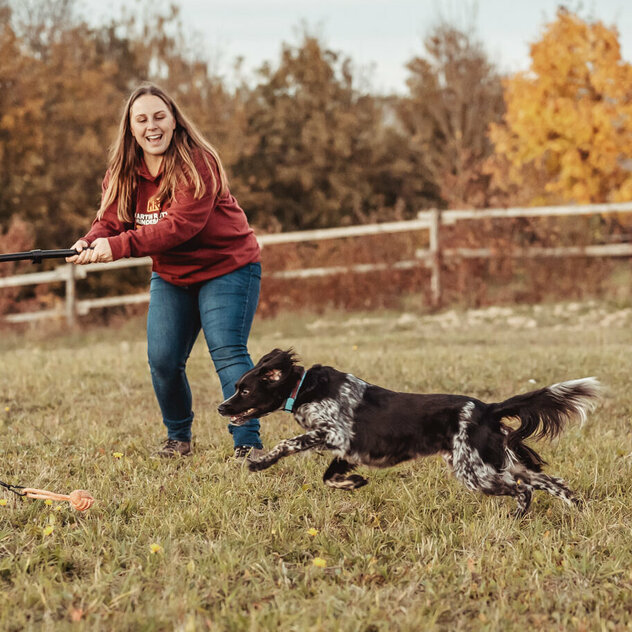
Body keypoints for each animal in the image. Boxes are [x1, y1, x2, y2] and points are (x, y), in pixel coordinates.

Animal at [220, 348, 600, 516]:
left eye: (244, 390)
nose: (222, 408)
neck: (304, 389)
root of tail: (486, 409)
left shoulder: (334, 434)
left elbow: (288, 444)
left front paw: (258, 462)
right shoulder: (344, 449)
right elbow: (331, 476)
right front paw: (353, 483)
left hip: (476, 472)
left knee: (524, 489)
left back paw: (517, 517)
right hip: (493, 460)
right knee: (550, 481)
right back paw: (578, 509)